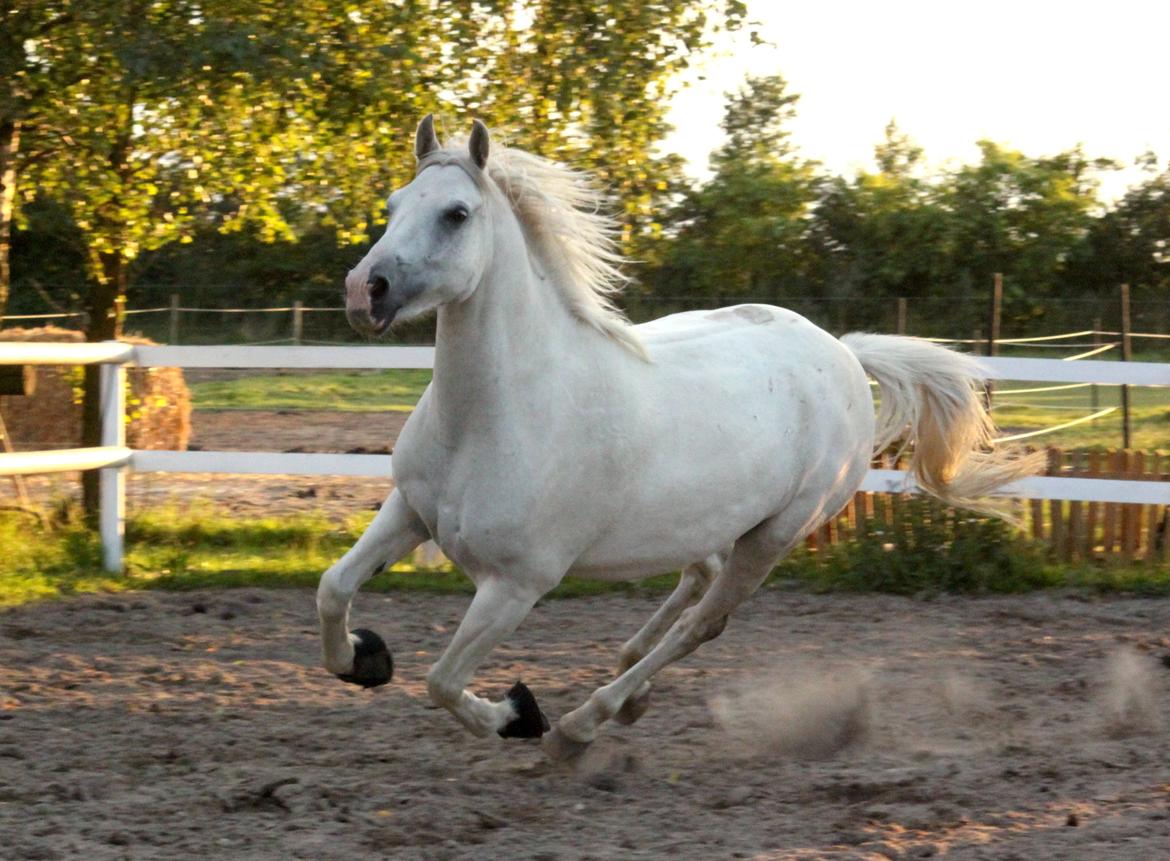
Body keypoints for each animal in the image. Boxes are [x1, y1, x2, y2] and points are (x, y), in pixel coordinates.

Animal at [315, 115, 1038, 758]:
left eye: (457, 213)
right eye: (393, 205)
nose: (364, 291)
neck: (500, 413)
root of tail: (844, 352)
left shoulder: (516, 584)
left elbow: (442, 681)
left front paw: (520, 714)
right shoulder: (410, 510)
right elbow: (333, 589)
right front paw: (367, 658)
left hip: (776, 534)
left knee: (705, 621)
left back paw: (584, 721)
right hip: (711, 519)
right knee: (697, 579)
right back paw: (629, 688)